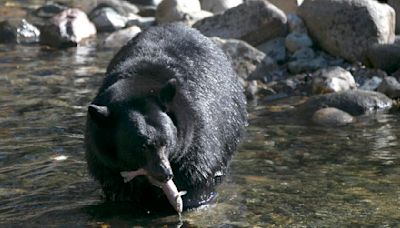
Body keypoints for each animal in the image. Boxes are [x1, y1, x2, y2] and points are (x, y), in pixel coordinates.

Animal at [85, 22, 247, 212]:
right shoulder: (103, 158)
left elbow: (197, 173)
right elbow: (116, 185)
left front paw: (192, 199)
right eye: (141, 146)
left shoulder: (198, 136)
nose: (165, 174)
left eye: (167, 142)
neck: (138, 83)